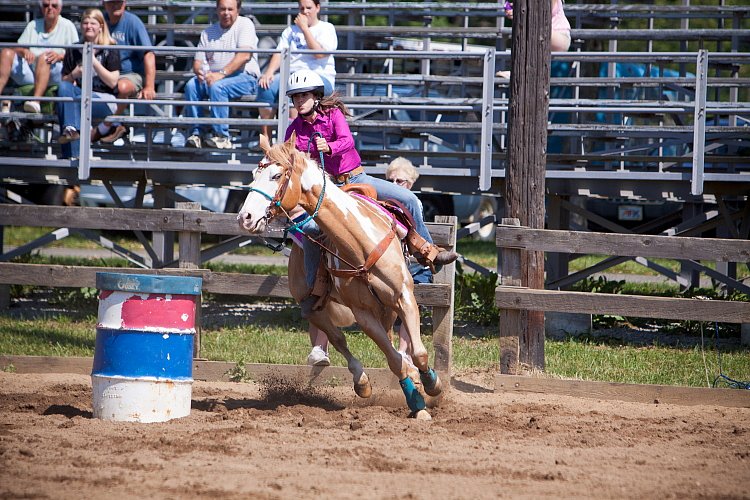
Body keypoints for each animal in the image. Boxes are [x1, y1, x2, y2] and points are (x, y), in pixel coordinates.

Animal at [238, 134, 444, 418]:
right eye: (254, 174)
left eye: (276, 175)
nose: (245, 217)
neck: (359, 243)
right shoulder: (364, 314)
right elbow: (392, 360)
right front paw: (417, 404)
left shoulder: (404, 297)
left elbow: (419, 353)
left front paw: (433, 384)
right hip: (313, 307)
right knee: (339, 339)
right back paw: (362, 381)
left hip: (387, 308)